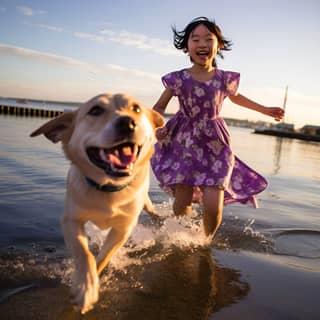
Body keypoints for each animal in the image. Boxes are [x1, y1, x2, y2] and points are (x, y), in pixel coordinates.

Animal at [30, 92, 165, 312]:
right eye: (95, 110)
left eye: (136, 108)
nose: (128, 123)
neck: (108, 188)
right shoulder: (71, 221)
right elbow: (85, 255)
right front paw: (85, 288)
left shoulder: (123, 228)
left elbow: (102, 258)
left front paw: (94, 281)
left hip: (145, 201)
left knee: (151, 209)